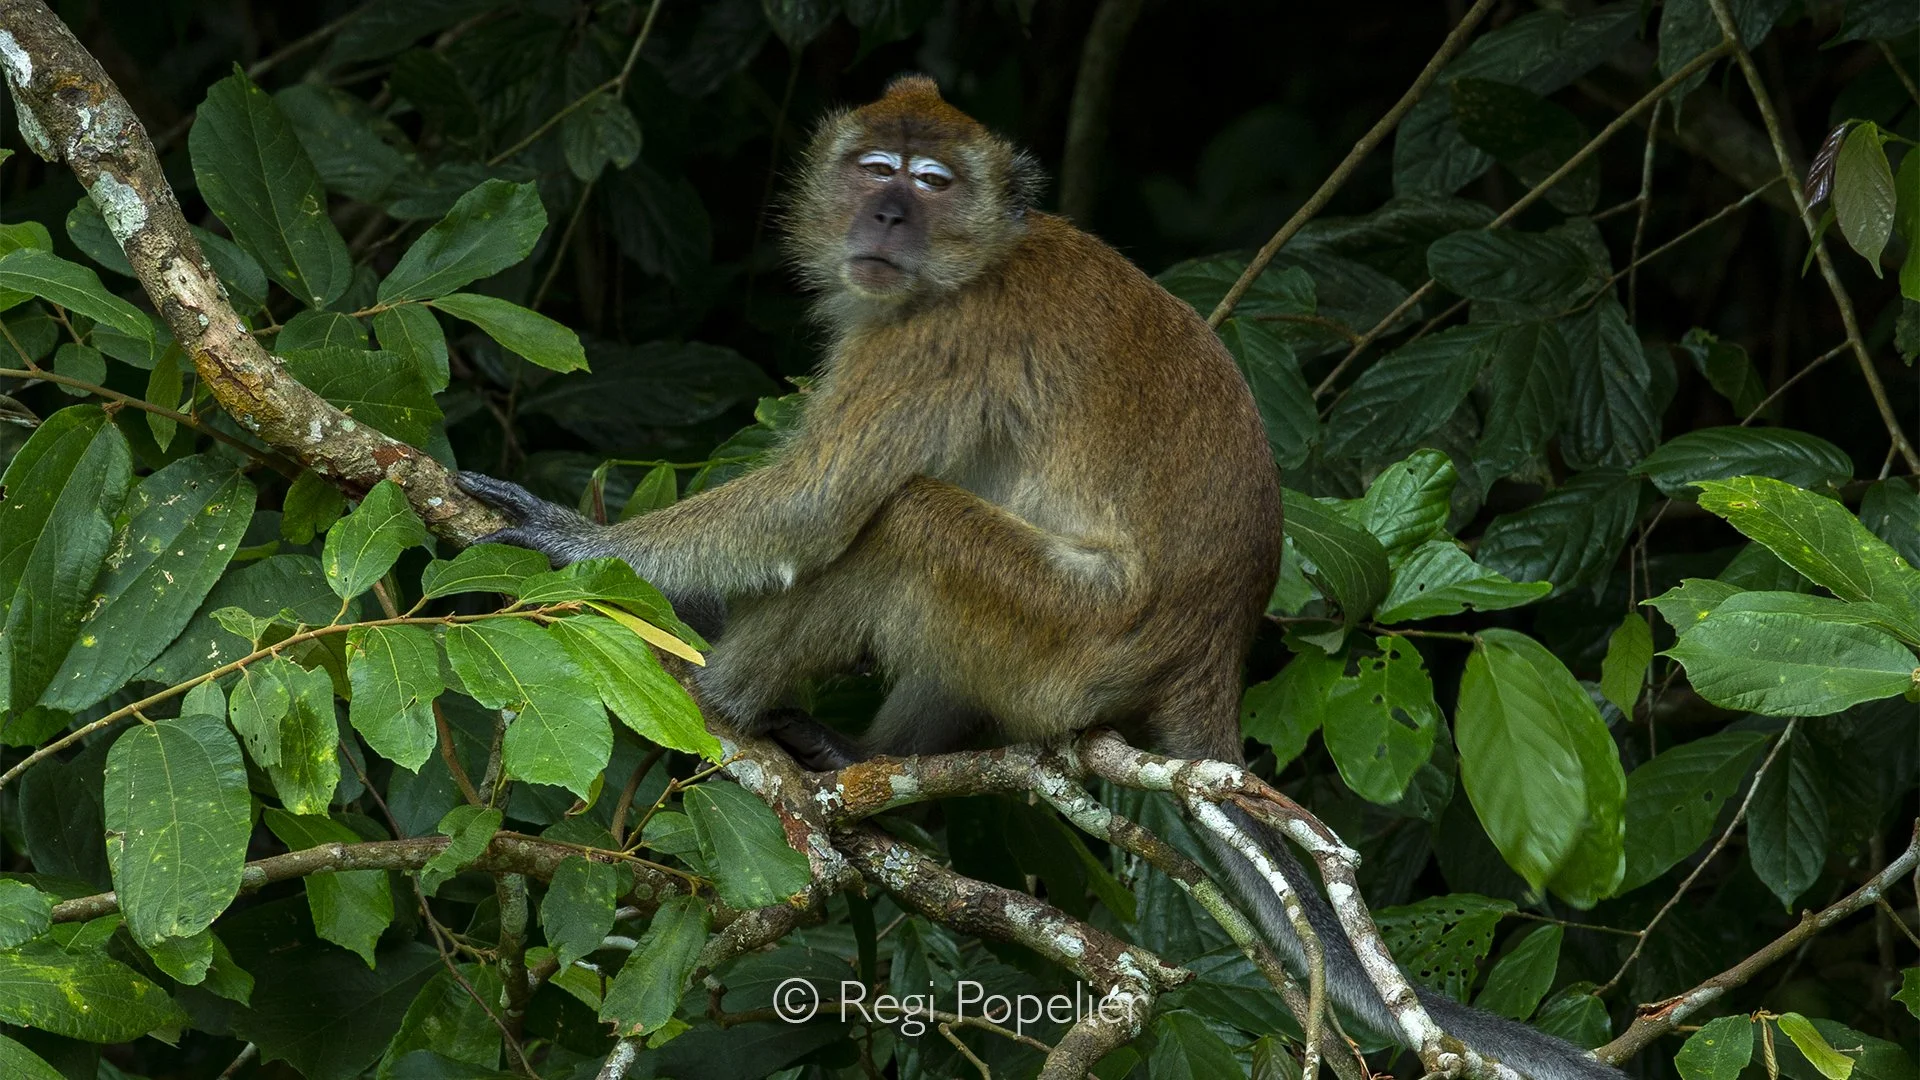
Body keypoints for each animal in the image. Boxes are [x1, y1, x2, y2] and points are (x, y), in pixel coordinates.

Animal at [456, 75, 1622, 1080]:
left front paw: (572, 544)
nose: (887, 216)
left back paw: (728, 705)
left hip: (1072, 635)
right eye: (874, 168)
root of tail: (1215, 652)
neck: (978, 259)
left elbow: (812, 509)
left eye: (931, 181)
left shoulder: (938, 342)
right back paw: (865, 760)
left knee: (908, 522)